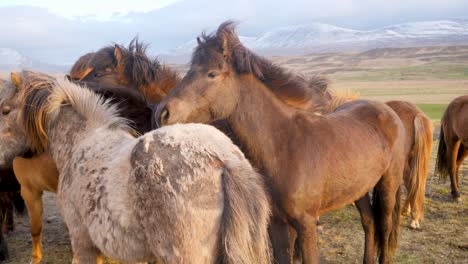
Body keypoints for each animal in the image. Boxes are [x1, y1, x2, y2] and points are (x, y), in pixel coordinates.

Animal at [155, 21, 404, 264]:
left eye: (212, 74)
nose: (162, 113)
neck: (284, 145)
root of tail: (387, 110)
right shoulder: (277, 223)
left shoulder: (306, 225)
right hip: (358, 189)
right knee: (369, 222)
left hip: (387, 187)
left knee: (384, 227)